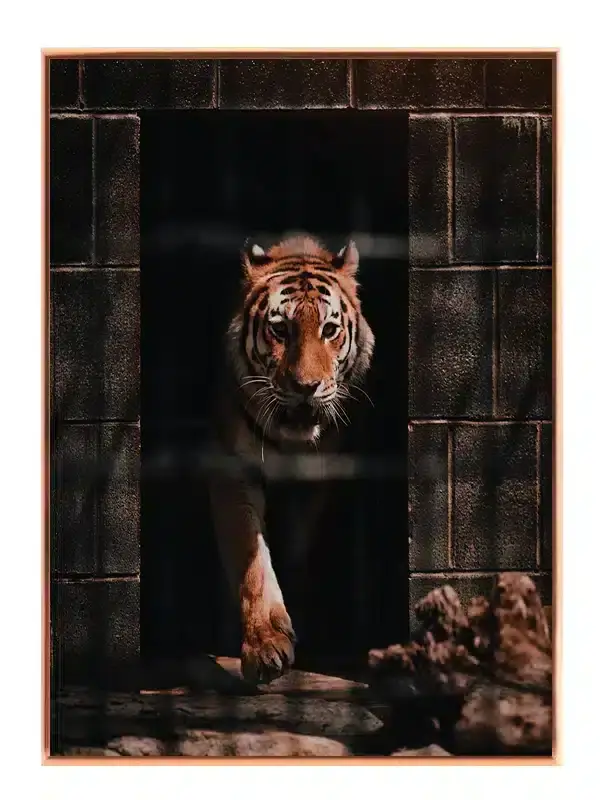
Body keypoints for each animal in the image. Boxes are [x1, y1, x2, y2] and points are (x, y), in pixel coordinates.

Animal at [209, 234, 375, 683]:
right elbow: (252, 561)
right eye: (280, 329)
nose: (306, 387)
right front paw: (266, 646)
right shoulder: (234, 472)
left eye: (329, 329)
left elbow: (297, 551)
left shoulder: (317, 483)